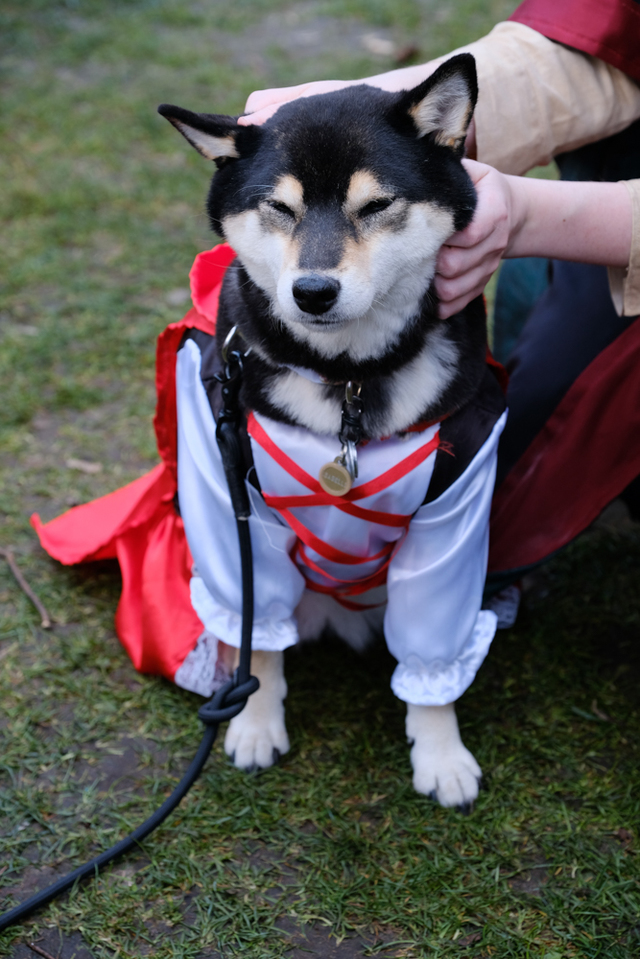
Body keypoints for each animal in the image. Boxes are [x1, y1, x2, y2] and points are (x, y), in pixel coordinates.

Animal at [158, 53, 506, 808]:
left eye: (375, 206)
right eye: (280, 208)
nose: (312, 292)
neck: (348, 378)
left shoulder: (455, 511)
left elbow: (432, 660)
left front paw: (441, 754)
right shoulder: (233, 502)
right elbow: (258, 638)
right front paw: (255, 723)